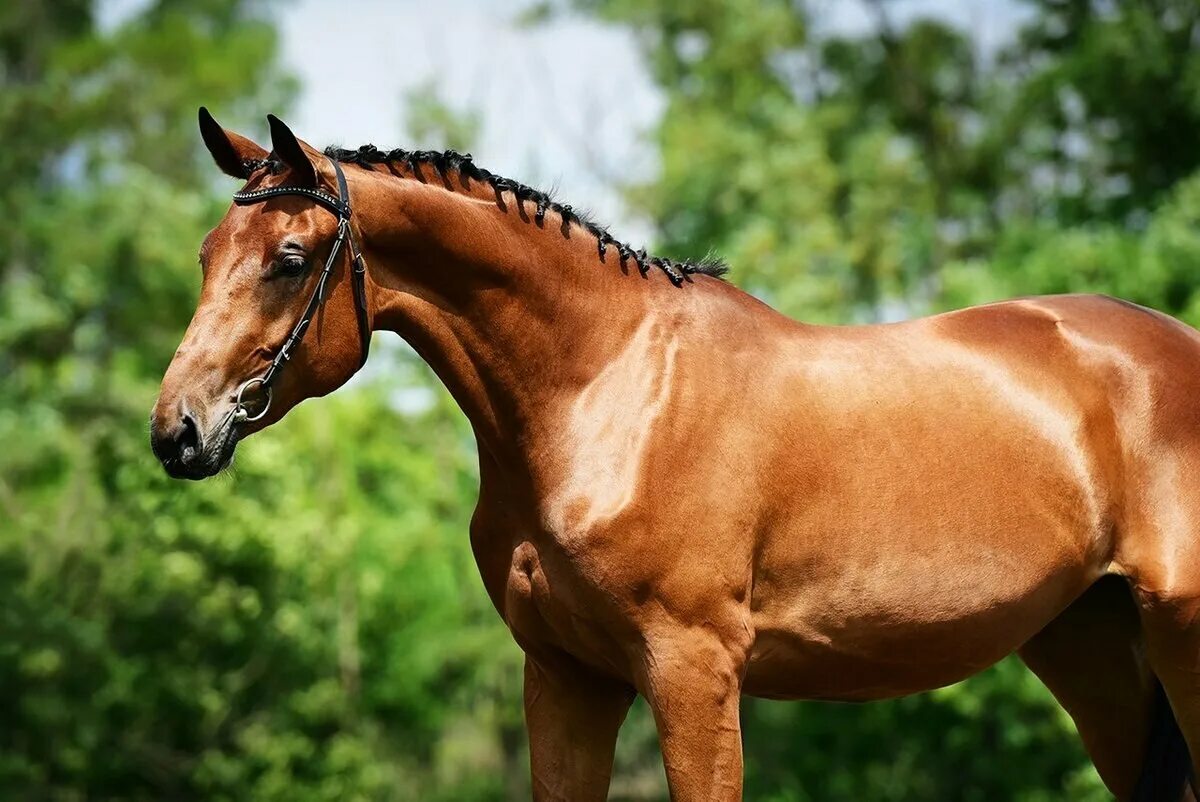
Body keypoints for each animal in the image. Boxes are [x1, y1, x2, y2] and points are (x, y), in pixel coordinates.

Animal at [152, 109, 1200, 797]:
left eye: (289, 260)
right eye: (206, 253)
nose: (178, 430)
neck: (605, 391)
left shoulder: (693, 672)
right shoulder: (566, 678)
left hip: (1177, 635)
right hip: (1090, 648)